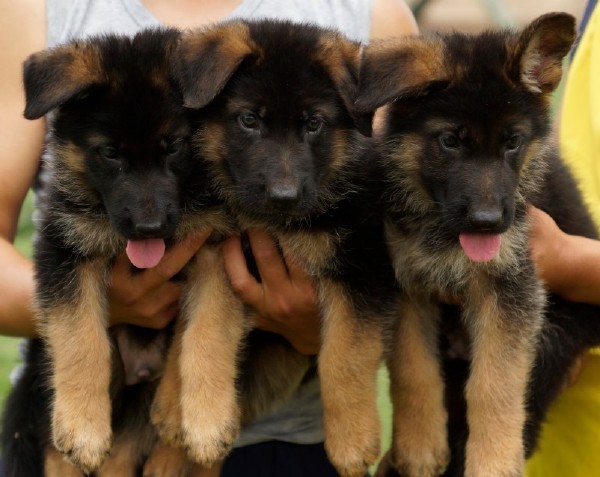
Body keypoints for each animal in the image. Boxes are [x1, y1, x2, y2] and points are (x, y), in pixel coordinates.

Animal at [150, 19, 400, 476]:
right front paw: (204, 424)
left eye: (313, 124)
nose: (283, 197)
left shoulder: (363, 270)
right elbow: (205, 333)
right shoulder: (223, 259)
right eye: (249, 120)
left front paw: (352, 441)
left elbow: (344, 357)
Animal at [356, 11, 600, 476]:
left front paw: (493, 463)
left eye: (512, 142)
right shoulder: (409, 285)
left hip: (557, 332)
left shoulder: (510, 291)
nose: (487, 224)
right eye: (450, 141)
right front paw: (419, 445)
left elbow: (494, 385)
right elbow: (414, 368)